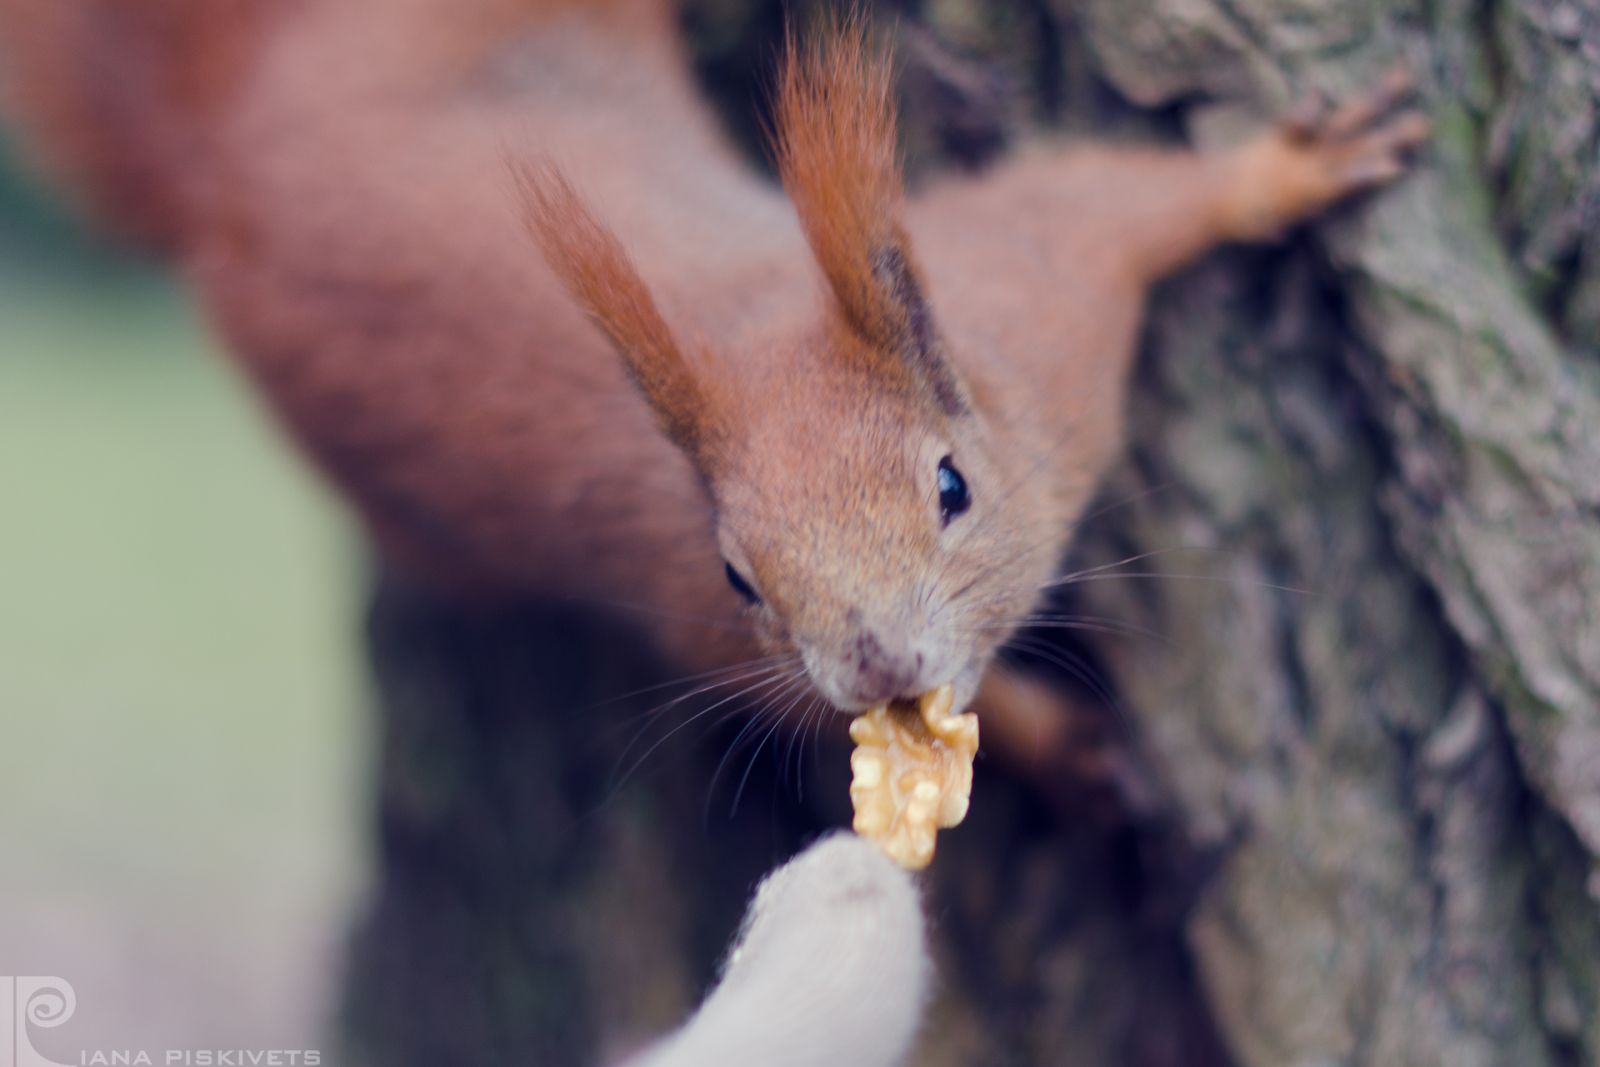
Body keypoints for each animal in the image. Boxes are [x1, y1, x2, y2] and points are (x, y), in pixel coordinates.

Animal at [0, 0, 1427, 767]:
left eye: (951, 487)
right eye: (737, 574)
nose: (873, 659)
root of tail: (222, 153)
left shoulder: (1040, 302)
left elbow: (1122, 200)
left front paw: (1284, 169)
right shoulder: (712, 640)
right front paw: (1055, 746)